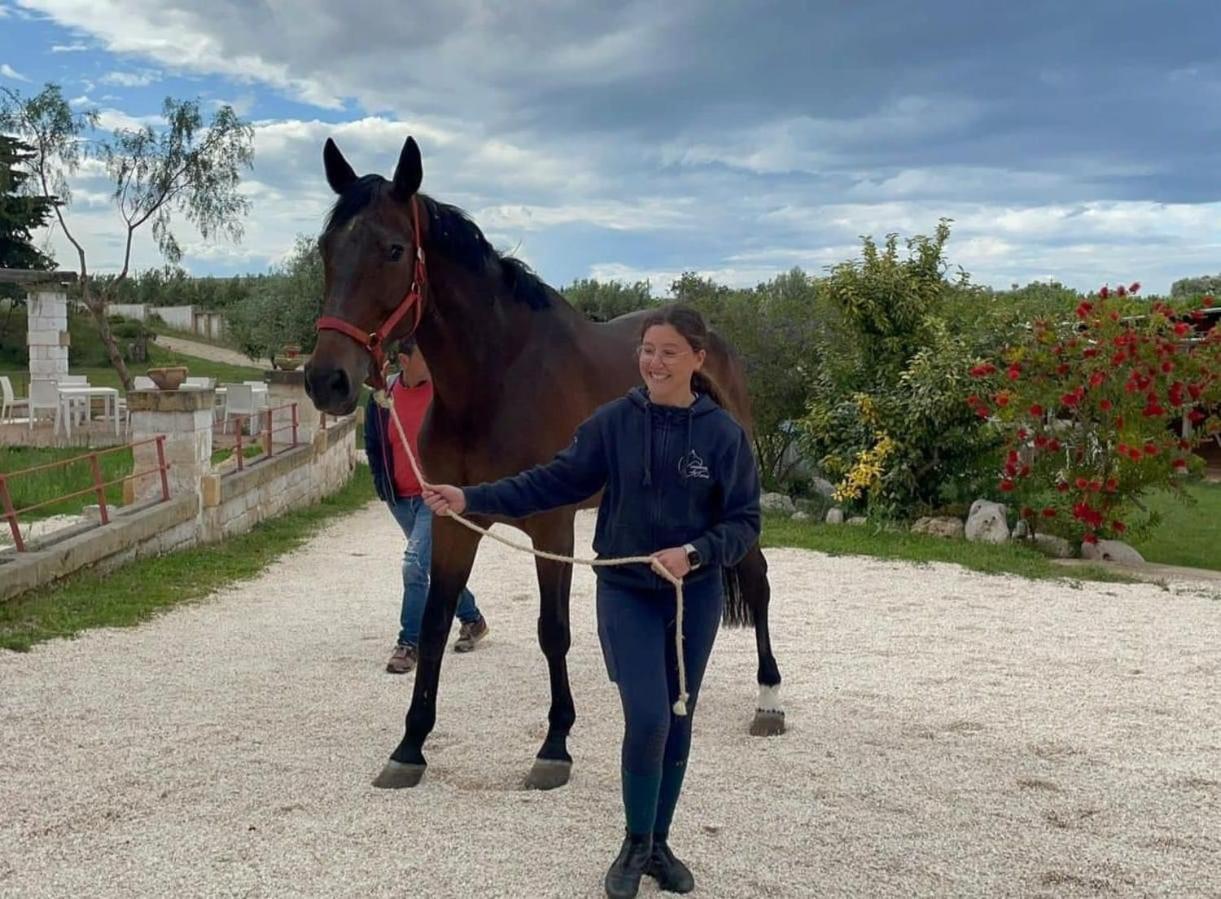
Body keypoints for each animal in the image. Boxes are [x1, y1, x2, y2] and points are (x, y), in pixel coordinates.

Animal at [301, 136, 786, 791]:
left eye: (394, 249)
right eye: (327, 248)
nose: (326, 380)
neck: (496, 380)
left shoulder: (552, 524)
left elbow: (552, 632)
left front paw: (555, 744)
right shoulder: (454, 521)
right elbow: (434, 623)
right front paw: (410, 746)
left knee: (756, 580)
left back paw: (769, 698)